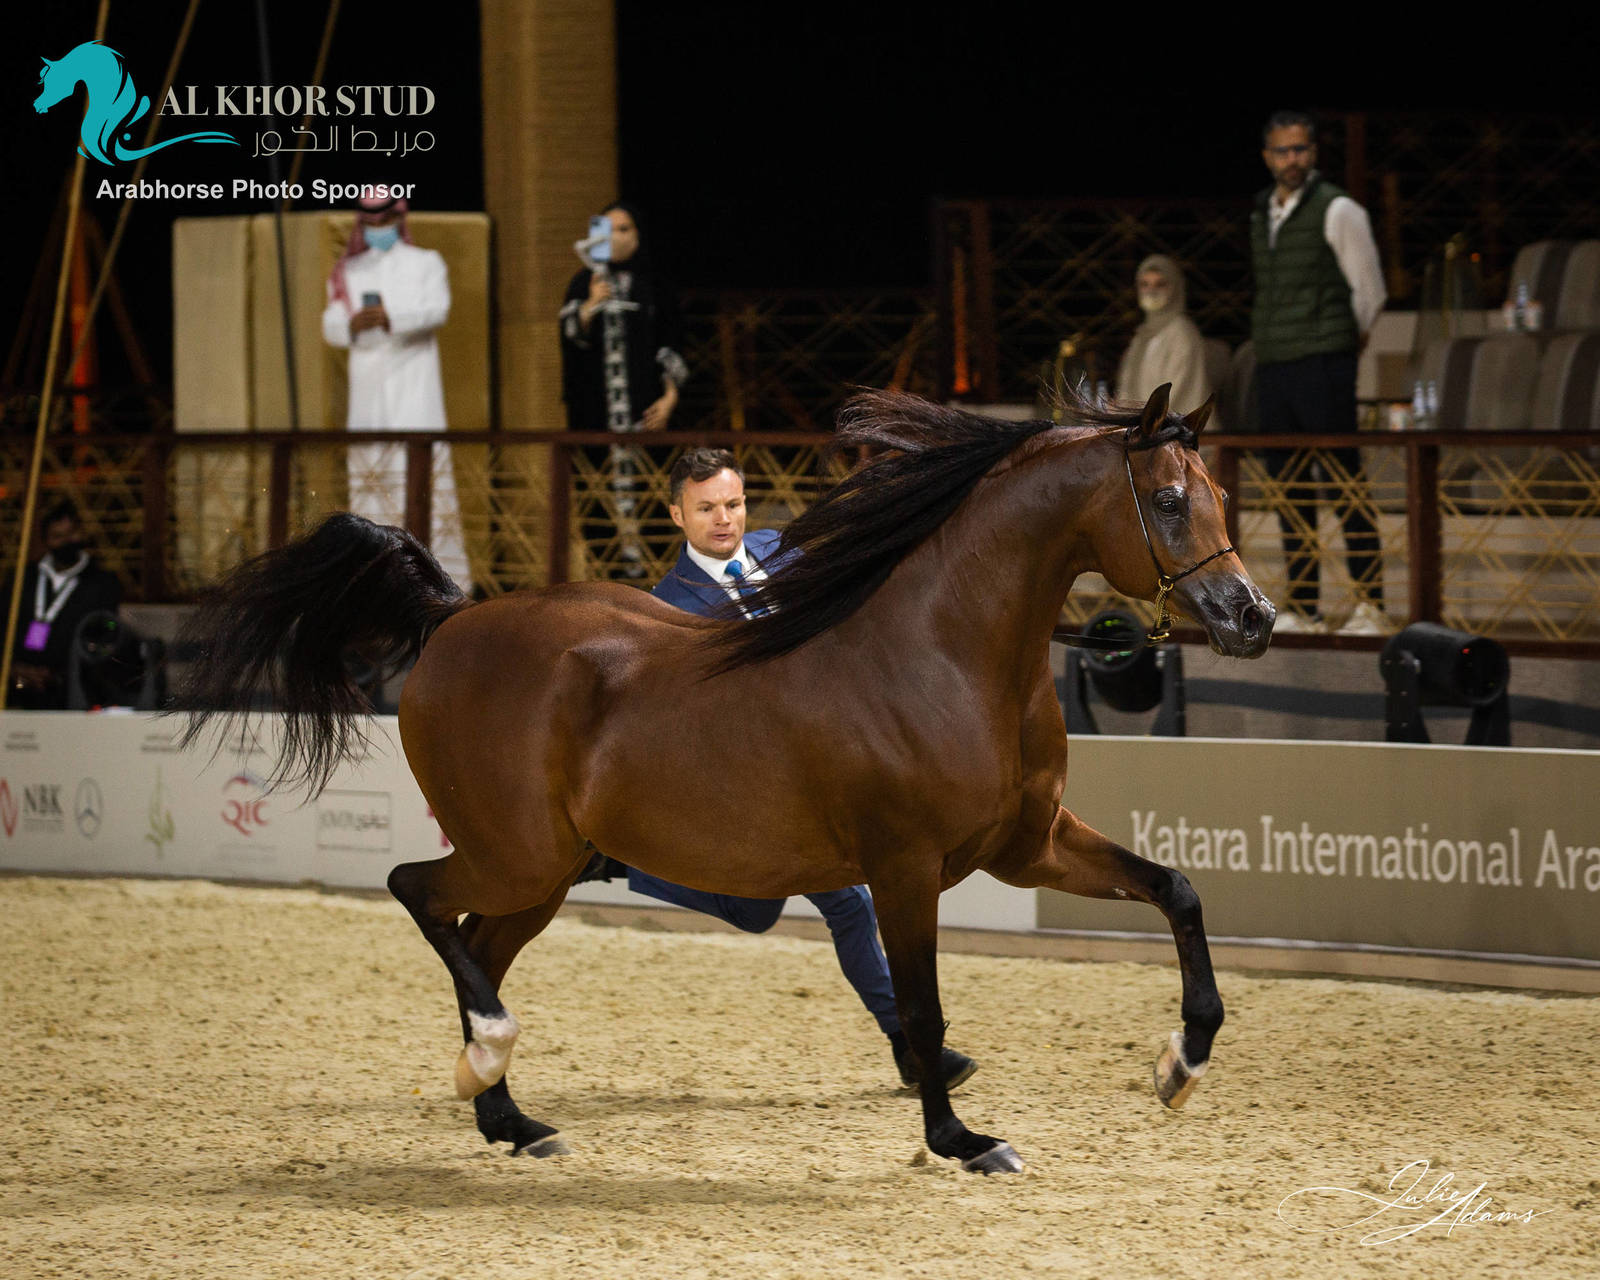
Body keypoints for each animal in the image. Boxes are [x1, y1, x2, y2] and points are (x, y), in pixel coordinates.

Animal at [177, 383, 1274, 1175]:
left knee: (474, 941)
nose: (1252, 615)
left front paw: (1181, 1062)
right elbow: (922, 1007)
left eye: (1220, 495)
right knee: (415, 893)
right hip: (514, 853)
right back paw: (490, 1051)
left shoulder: (1026, 844)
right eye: (1167, 499)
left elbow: (1177, 889)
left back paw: (510, 1117)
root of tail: (453, 619)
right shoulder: (905, 867)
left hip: (540, 872)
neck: (946, 653)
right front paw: (962, 1141)